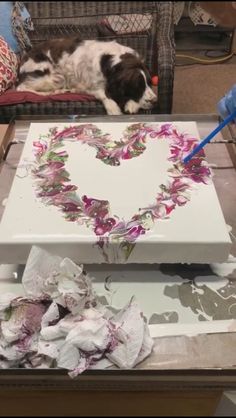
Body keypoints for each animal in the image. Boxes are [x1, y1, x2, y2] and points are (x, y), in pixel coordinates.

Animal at [16, 35, 157, 114]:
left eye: (149, 83)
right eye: (137, 86)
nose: (155, 101)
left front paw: (132, 104)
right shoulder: (89, 85)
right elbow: (104, 94)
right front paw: (113, 107)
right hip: (56, 77)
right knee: (22, 88)